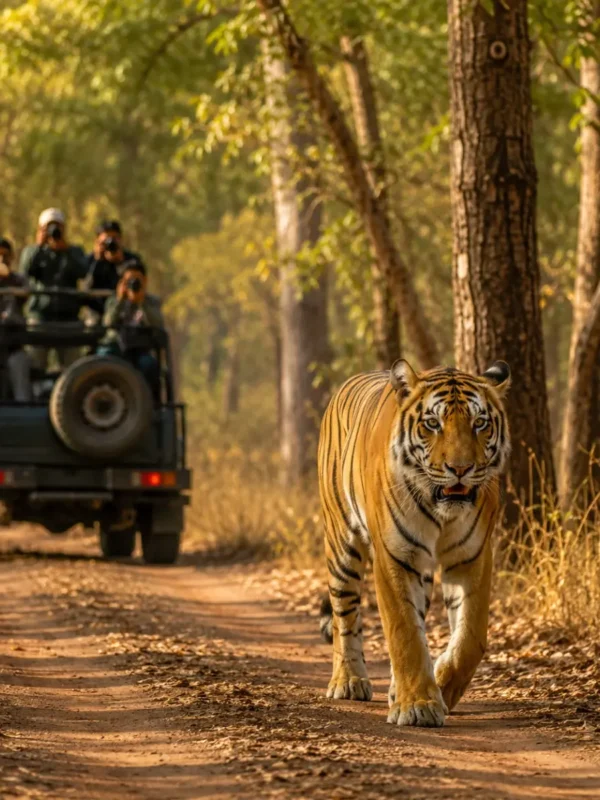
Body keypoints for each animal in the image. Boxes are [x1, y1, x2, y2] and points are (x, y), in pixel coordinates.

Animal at [317, 359, 510, 728]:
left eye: (479, 423)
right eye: (432, 424)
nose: (460, 469)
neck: (442, 512)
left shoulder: (472, 557)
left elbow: (470, 638)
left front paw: (442, 686)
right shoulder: (395, 557)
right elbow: (404, 632)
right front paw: (418, 706)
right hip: (341, 544)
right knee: (344, 615)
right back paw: (348, 681)